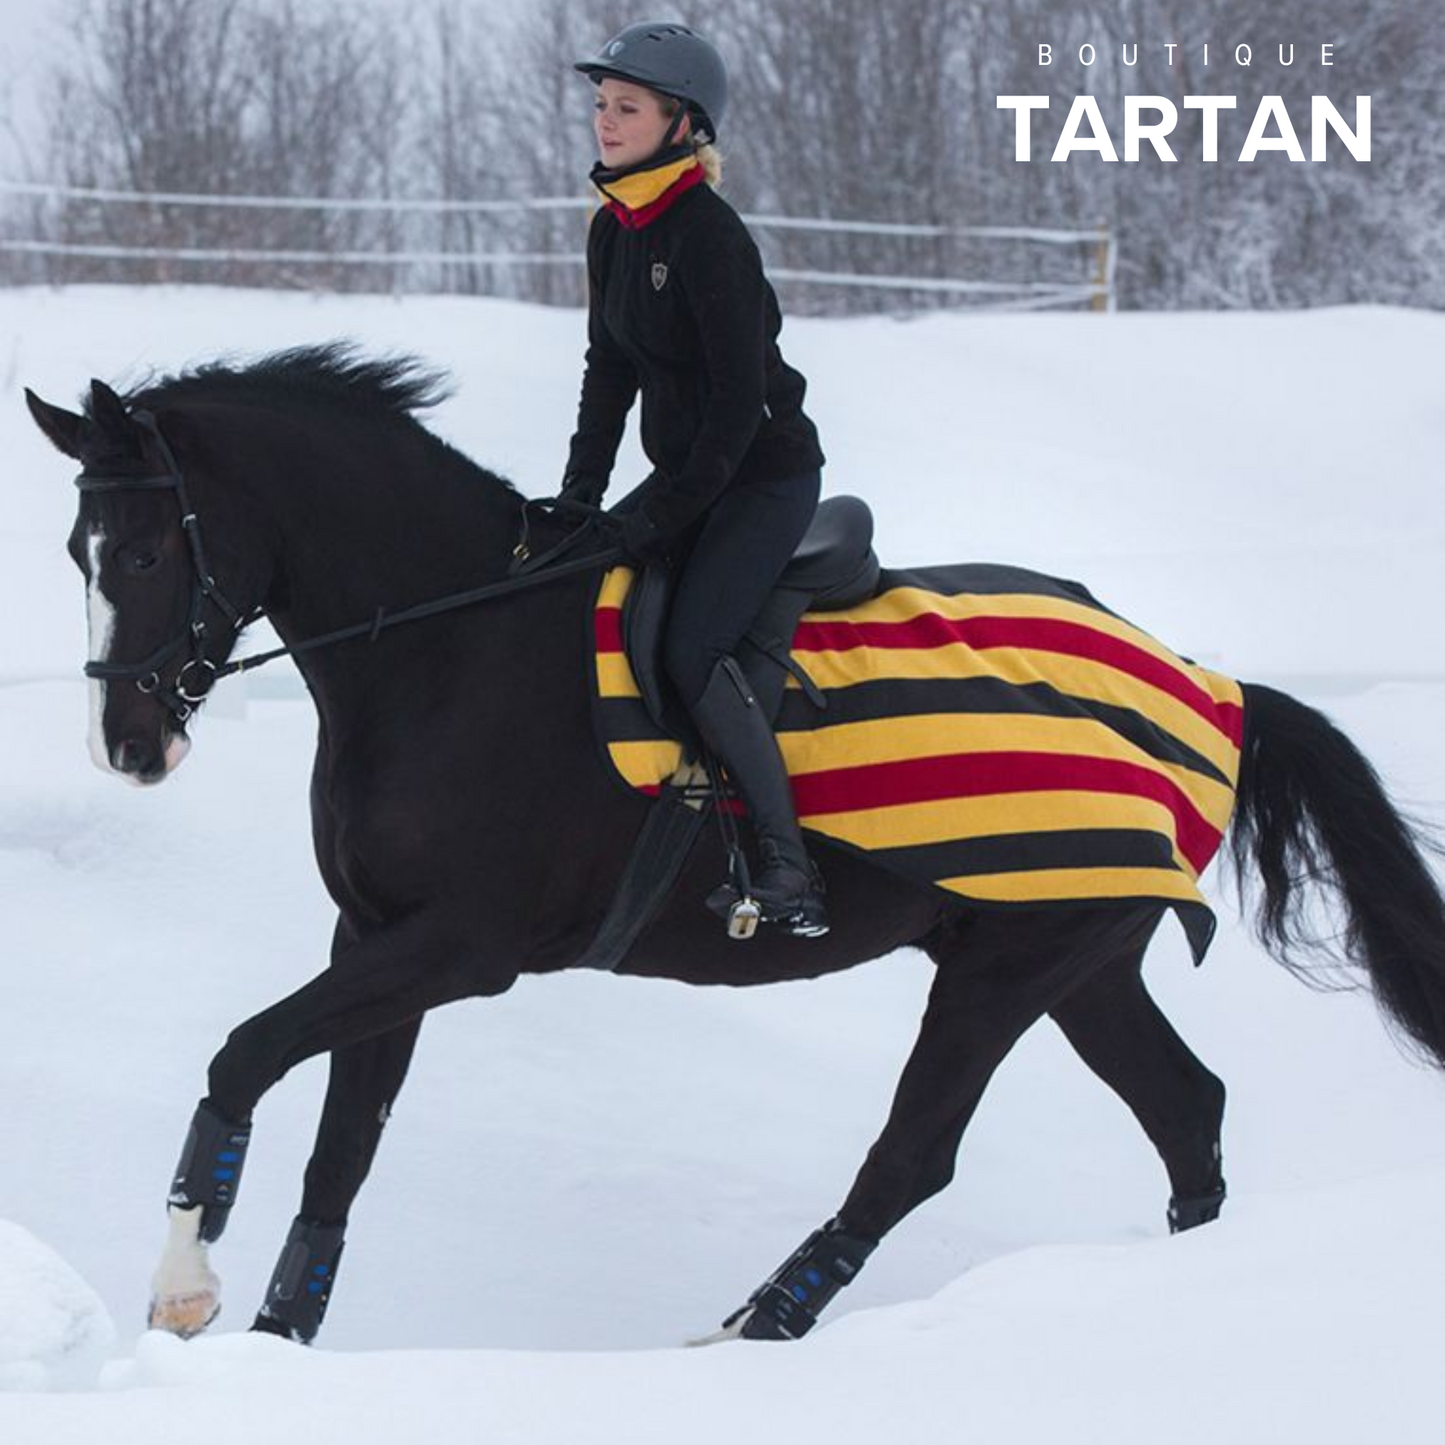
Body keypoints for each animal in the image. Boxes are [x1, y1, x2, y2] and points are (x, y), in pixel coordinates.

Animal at [25, 346, 1445, 1346]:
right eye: (77, 552)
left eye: (142, 549)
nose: (128, 743)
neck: (453, 645)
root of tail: (1205, 686)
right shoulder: (378, 938)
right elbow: (341, 1145)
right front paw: (275, 1336)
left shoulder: (459, 947)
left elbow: (244, 1051)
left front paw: (185, 1294)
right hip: (1075, 958)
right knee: (1185, 1109)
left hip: (1005, 968)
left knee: (915, 1152)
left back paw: (751, 1330)